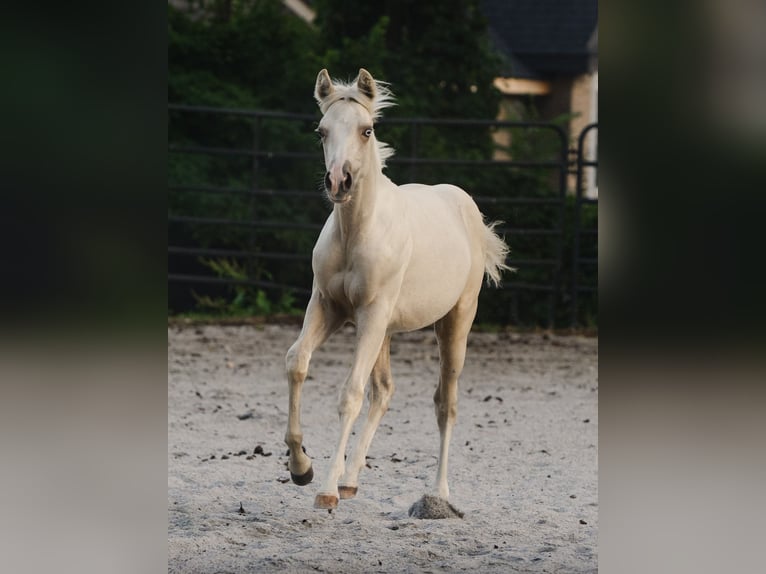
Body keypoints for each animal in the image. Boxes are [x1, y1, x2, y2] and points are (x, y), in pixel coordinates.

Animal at [285, 68, 511, 510]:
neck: (357, 232)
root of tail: (469, 211)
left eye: (367, 130)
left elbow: (350, 394)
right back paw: (351, 480)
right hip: (384, 330)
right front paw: (302, 468)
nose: (338, 181)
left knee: (445, 403)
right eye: (321, 131)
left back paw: (438, 493)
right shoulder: (329, 306)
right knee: (385, 391)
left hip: (454, 322)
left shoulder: (371, 313)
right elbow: (297, 362)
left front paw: (325, 490)